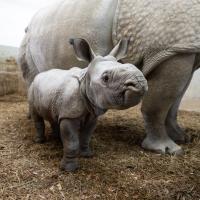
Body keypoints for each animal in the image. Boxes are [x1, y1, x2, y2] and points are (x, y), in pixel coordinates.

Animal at [18, 0, 200, 155]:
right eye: (105, 77)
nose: (139, 82)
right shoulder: (173, 46)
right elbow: (160, 103)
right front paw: (167, 149)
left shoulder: (185, 47)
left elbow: (176, 100)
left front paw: (181, 137)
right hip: (27, 39)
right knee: (33, 77)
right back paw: (33, 117)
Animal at [28, 38, 147, 172]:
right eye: (106, 78)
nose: (140, 82)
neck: (85, 80)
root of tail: (39, 75)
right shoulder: (69, 115)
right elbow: (72, 142)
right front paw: (69, 169)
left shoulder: (92, 114)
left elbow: (86, 136)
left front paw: (87, 154)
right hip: (32, 87)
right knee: (36, 115)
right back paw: (39, 141)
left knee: (54, 116)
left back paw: (57, 139)